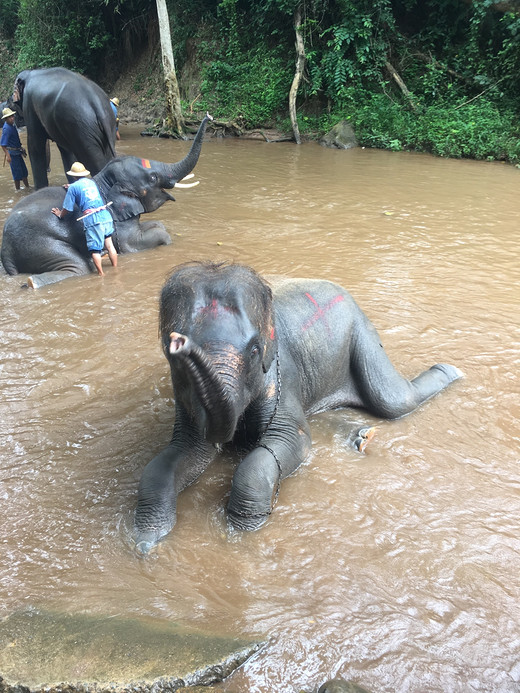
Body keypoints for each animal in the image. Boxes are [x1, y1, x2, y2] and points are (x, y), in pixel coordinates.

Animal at [0, 115, 212, 288]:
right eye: (153, 178)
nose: (209, 117)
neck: (103, 179)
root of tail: (6, 250)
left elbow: (157, 224)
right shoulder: (120, 225)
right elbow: (133, 243)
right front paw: (167, 241)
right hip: (40, 242)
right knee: (77, 267)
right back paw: (31, 283)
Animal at [133, 260, 464, 552]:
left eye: (255, 351)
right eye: (172, 353)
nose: (180, 342)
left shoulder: (282, 372)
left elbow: (292, 439)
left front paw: (241, 530)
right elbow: (182, 451)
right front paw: (146, 541)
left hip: (361, 331)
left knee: (393, 400)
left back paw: (450, 372)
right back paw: (361, 437)